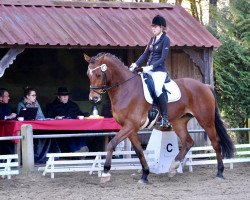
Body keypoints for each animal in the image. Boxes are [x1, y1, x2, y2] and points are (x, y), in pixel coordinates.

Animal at [84, 52, 234, 184]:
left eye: (98, 74)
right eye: (88, 75)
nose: (93, 99)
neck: (125, 89)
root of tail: (205, 86)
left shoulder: (130, 125)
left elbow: (112, 144)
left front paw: (105, 173)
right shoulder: (130, 128)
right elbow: (139, 151)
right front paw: (145, 175)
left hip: (206, 120)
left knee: (215, 143)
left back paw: (220, 172)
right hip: (179, 122)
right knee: (188, 142)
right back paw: (173, 167)